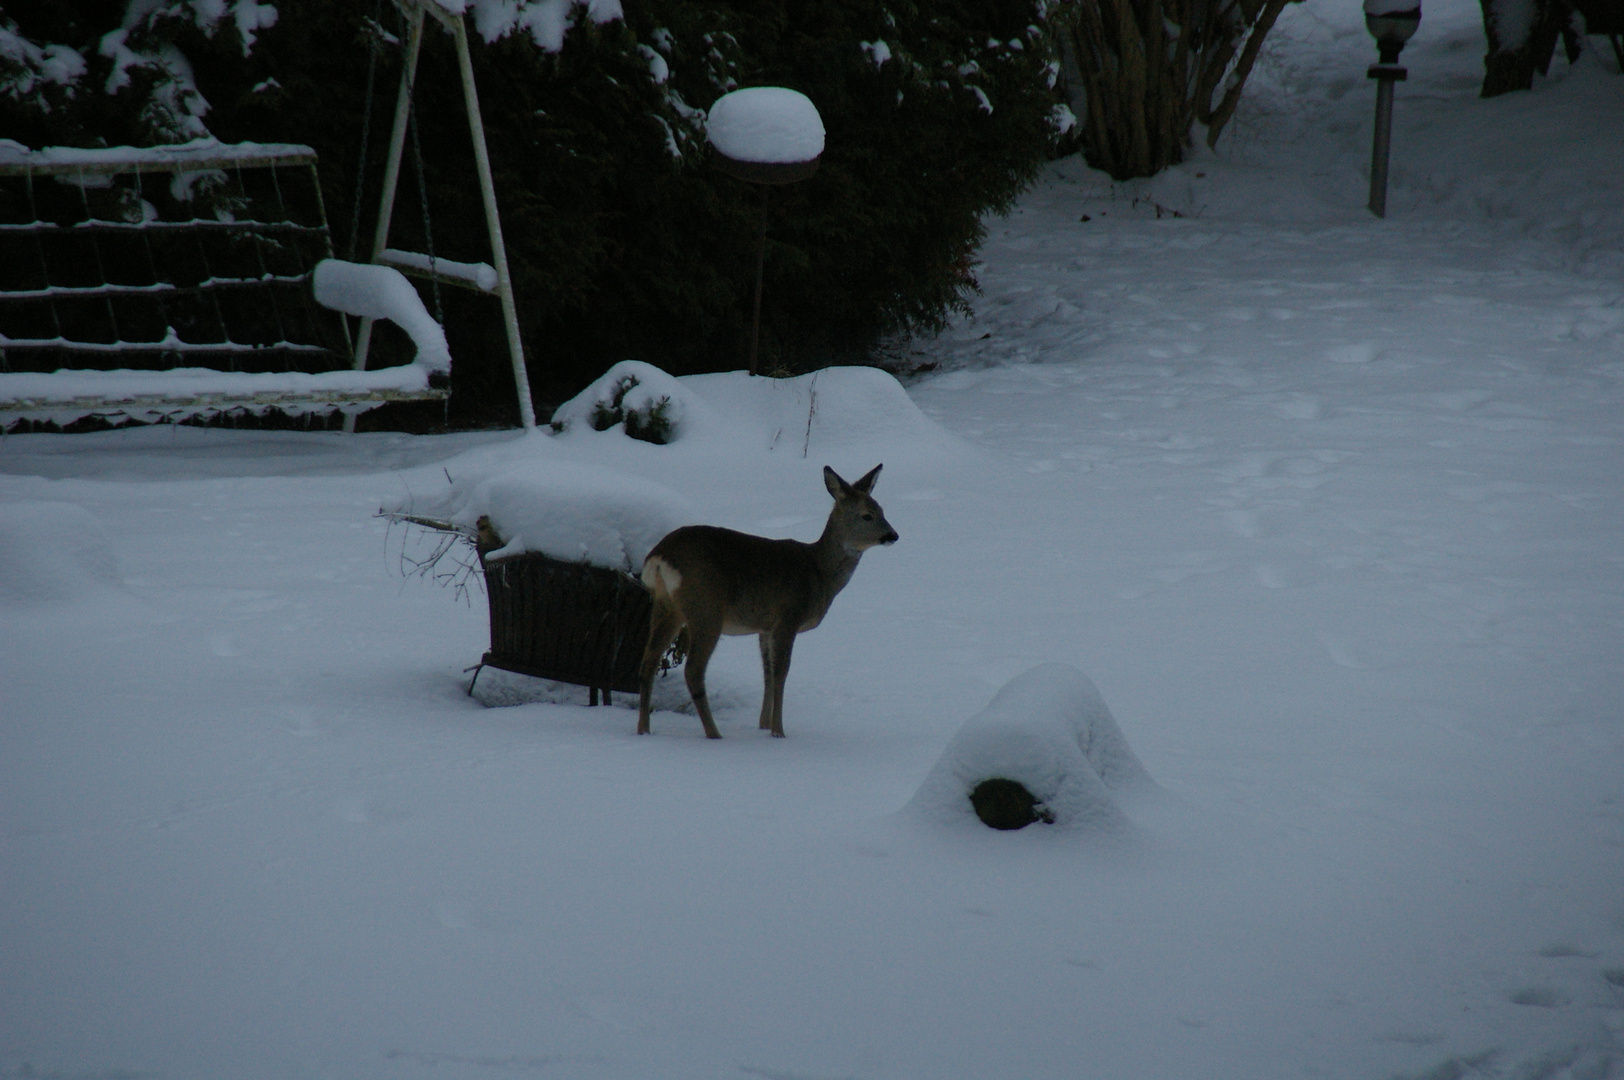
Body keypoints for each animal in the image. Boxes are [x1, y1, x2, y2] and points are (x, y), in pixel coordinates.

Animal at [636, 461, 902, 734]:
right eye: (867, 515)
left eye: (882, 510)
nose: (893, 535)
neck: (819, 572)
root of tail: (660, 556)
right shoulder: (788, 616)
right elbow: (781, 672)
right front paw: (778, 731)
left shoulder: (765, 627)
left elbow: (767, 673)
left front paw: (763, 725)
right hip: (705, 606)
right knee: (693, 670)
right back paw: (714, 733)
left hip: (666, 606)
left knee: (648, 660)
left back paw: (644, 729)